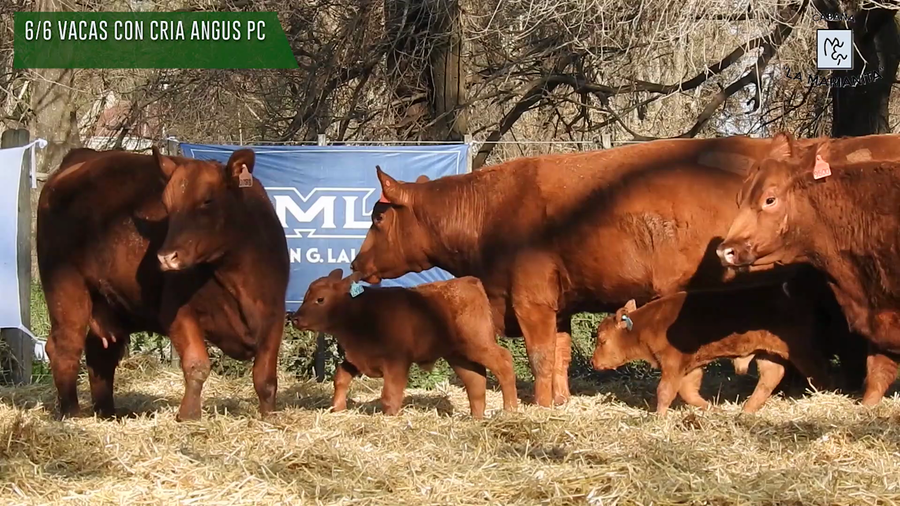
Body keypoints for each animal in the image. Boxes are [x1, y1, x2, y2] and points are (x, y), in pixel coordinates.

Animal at [36, 146, 290, 421]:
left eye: (208, 200)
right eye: (167, 206)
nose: (167, 257)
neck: (236, 277)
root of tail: (82, 157)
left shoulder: (274, 313)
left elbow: (265, 377)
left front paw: (270, 417)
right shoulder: (176, 310)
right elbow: (197, 364)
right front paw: (189, 416)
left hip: (111, 305)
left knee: (100, 354)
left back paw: (107, 413)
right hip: (66, 288)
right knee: (65, 347)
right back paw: (71, 413)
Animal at [289, 269, 518, 419]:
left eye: (320, 299)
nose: (296, 319)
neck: (363, 313)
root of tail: (468, 281)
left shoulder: (396, 361)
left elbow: (390, 394)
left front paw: (389, 418)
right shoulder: (357, 358)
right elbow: (341, 378)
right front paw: (338, 408)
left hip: (479, 343)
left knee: (504, 362)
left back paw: (510, 410)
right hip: (459, 355)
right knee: (475, 380)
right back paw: (476, 418)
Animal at [591, 283, 833, 415]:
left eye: (601, 339)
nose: (594, 362)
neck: (649, 323)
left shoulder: (672, 362)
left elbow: (665, 391)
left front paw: (658, 417)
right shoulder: (690, 366)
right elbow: (688, 391)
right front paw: (712, 409)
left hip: (801, 349)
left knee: (819, 371)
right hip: (768, 353)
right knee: (770, 377)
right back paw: (746, 410)